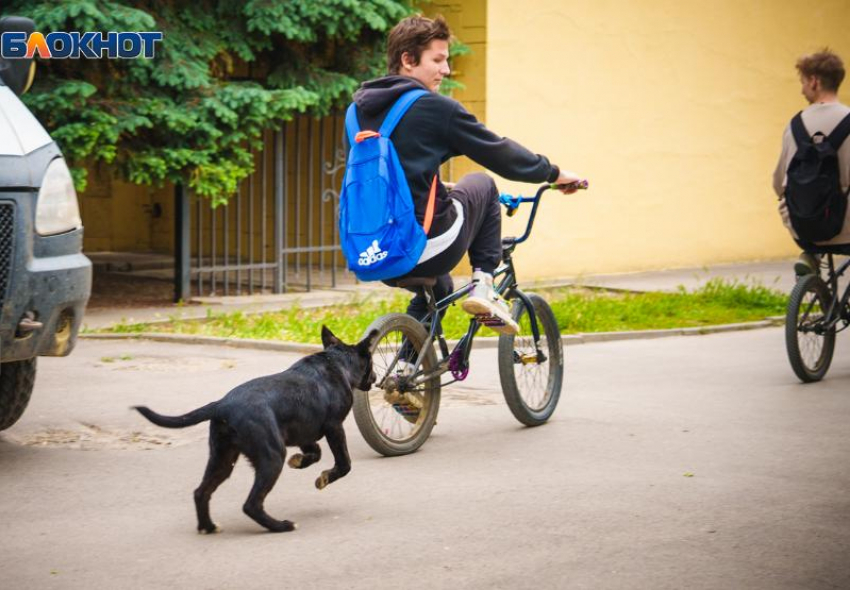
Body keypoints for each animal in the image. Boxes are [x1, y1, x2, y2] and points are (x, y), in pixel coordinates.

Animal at [132, 326, 374, 536]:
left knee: (201, 492)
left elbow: (315, 452)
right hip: (271, 457)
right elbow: (344, 463)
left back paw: (208, 526)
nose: (374, 379)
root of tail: (221, 405)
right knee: (251, 504)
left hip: (223, 459)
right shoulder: (334, 427)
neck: (337, 361)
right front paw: (324, 477)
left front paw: (299, 461)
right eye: (371, 364)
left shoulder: (303, 431)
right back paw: (281, 526)